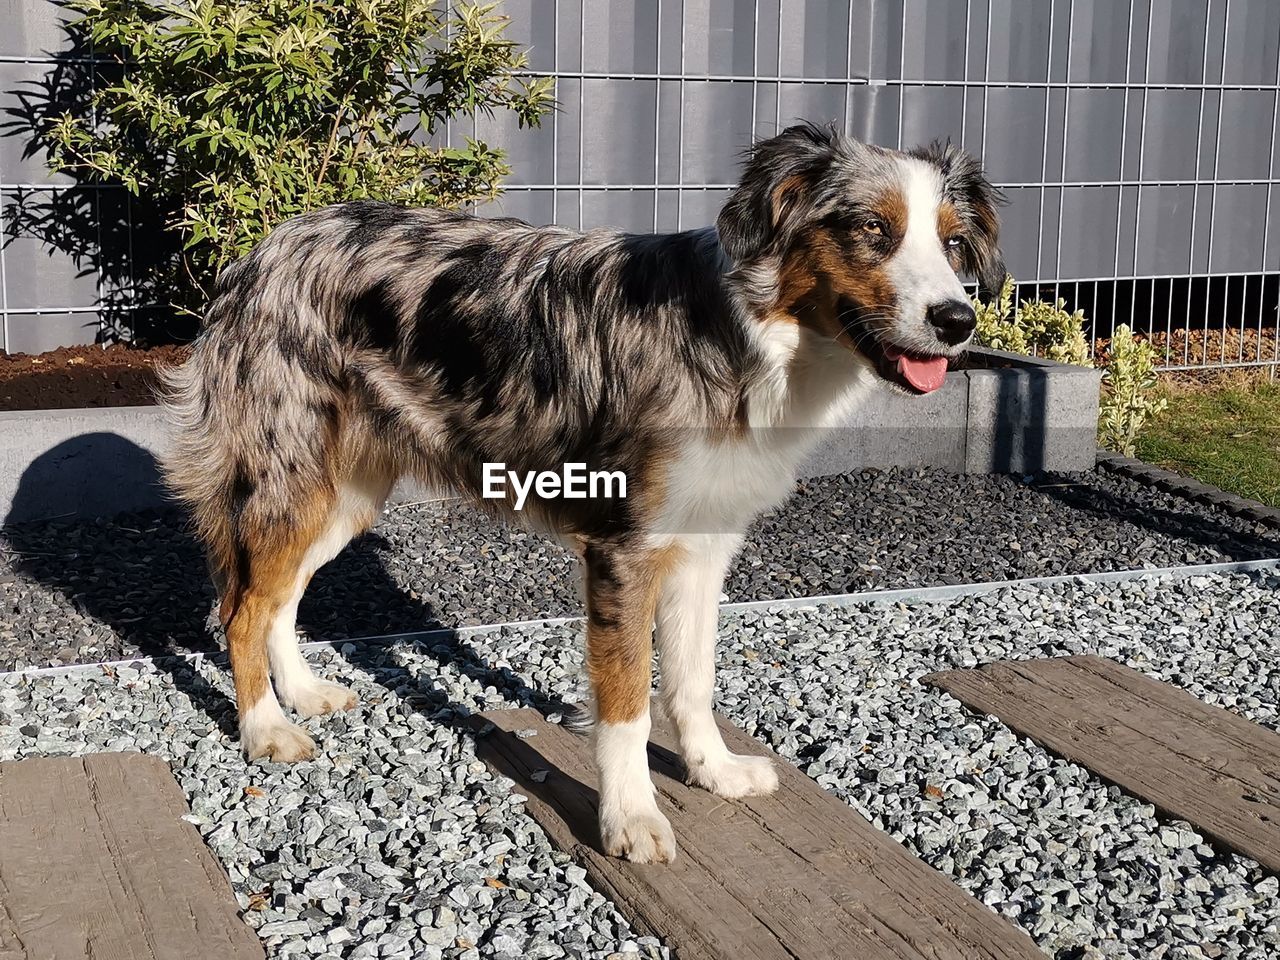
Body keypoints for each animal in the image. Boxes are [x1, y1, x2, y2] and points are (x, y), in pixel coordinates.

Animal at [160, 120, 998, 865]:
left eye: (954, 243)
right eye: (872, 229)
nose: (959, 320)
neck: (744, 338)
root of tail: (265, 246)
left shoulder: (703, 547)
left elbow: (692, 682)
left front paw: (714, 772)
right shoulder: (623, 551)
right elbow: (627, 706)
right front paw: (631, 818)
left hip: (345, 493)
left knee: (280, 597)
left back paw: (300, 692)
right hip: (293, 478)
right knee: (243, 608)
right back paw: (264, 728)